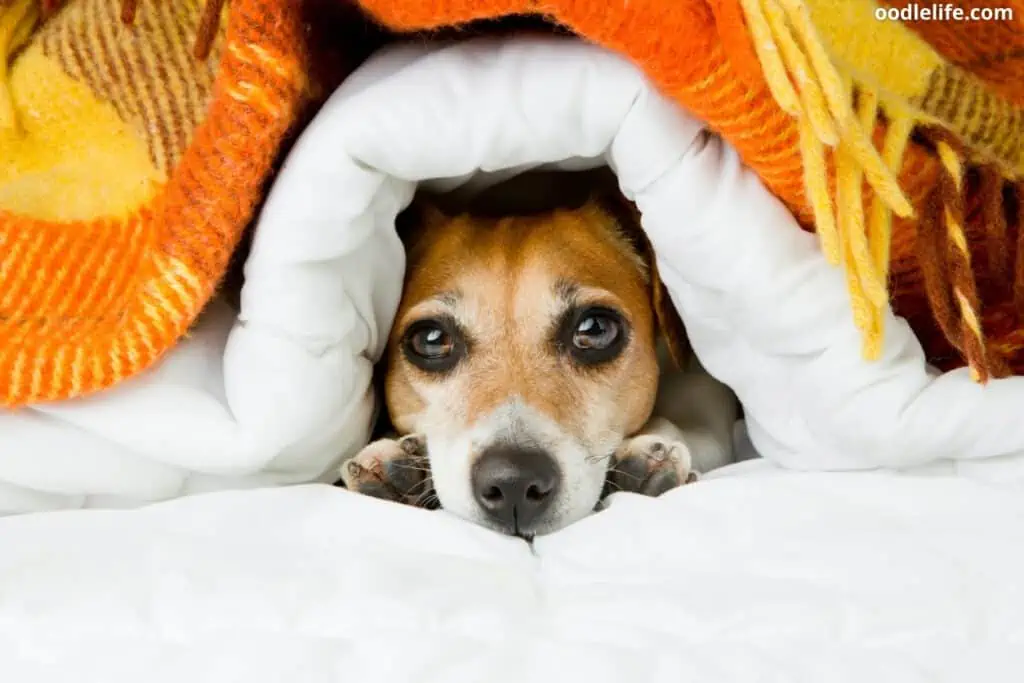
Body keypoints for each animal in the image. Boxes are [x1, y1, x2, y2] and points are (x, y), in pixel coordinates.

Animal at [342, 174, 737, 536]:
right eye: (431, 339)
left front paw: (647, 453)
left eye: (594, 329)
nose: (513, 481)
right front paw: (393, 459)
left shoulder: (705, 395)